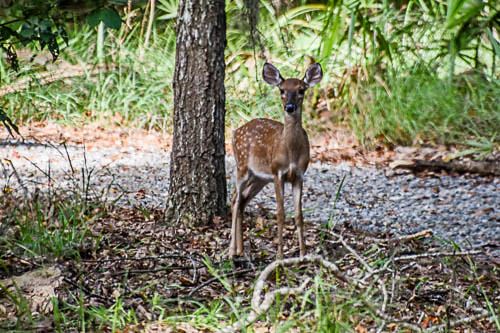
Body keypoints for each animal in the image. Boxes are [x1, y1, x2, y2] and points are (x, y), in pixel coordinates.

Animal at [229, 61, 322, 256]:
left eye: (301, 90)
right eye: (281, 89)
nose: (289, 107)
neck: (291, 152)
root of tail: (235, 132)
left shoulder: (299, 175)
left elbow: (299, 215)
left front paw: (303, 254)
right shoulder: (278, 172)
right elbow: (280, 213)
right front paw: (279, 256)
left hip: (259, 177)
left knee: (241, 200)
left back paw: (240, 249)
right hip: (242, 165)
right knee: (235, 199)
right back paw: (232, 250)